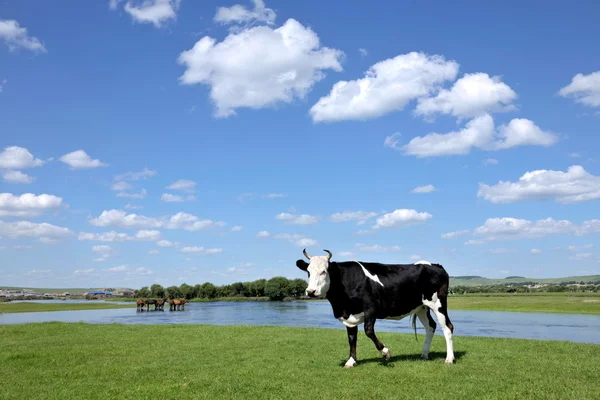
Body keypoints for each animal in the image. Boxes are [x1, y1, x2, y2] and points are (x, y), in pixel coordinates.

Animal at [296, 250, 454, 368]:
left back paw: (449, 359)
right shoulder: (350, 316)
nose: (310, 291)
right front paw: (351, 361)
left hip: (438, 303)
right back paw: (424, 354)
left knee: (447, 327)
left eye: (324, 271)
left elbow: (368, 331)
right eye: (308, 272)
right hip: (421, 307)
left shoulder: (371, 308)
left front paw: (385, 352)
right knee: (431, 326)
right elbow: (351, 338)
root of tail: (436, 265)